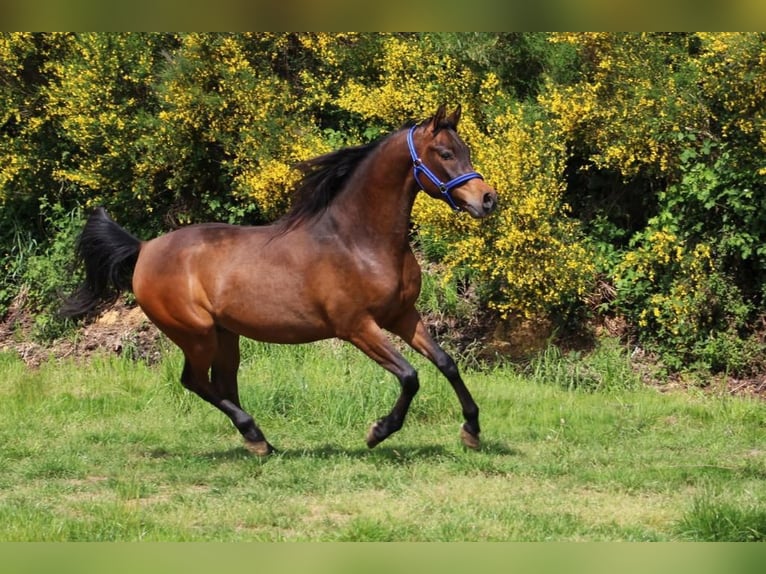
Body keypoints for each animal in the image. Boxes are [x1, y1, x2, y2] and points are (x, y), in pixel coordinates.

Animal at [63, 106, 500, 456]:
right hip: (195, 334)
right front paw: (377, 432)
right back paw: (256, 437)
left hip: (226, 336)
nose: (488, 199)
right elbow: (410, 376)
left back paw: (259, 442)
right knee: (195, 381)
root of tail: (144, 249)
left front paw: (471, 431)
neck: (359, 241)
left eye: (465, 149)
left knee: (222, 384)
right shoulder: (357, 327)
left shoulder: (402, 316)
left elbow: (446, 363)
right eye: (445, 153)